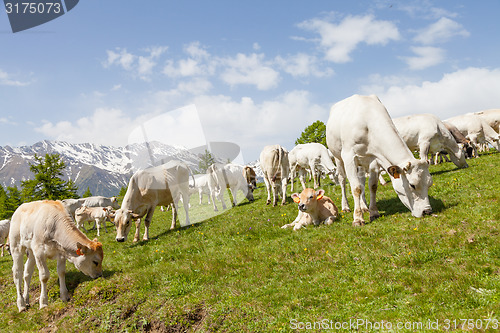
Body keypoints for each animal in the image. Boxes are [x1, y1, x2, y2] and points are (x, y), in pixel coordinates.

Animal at [326, 94, 432, 227]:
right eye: (412, 185)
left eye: (429, 184)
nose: (427, 211)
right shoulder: (349, 156)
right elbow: (356, 188)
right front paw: (358, 219)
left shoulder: (375, 159)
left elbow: (372, 186)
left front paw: (373, 212)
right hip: (338, 157)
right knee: (342, 180)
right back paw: (345, 206)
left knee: (362, 180)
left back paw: (364, 206)